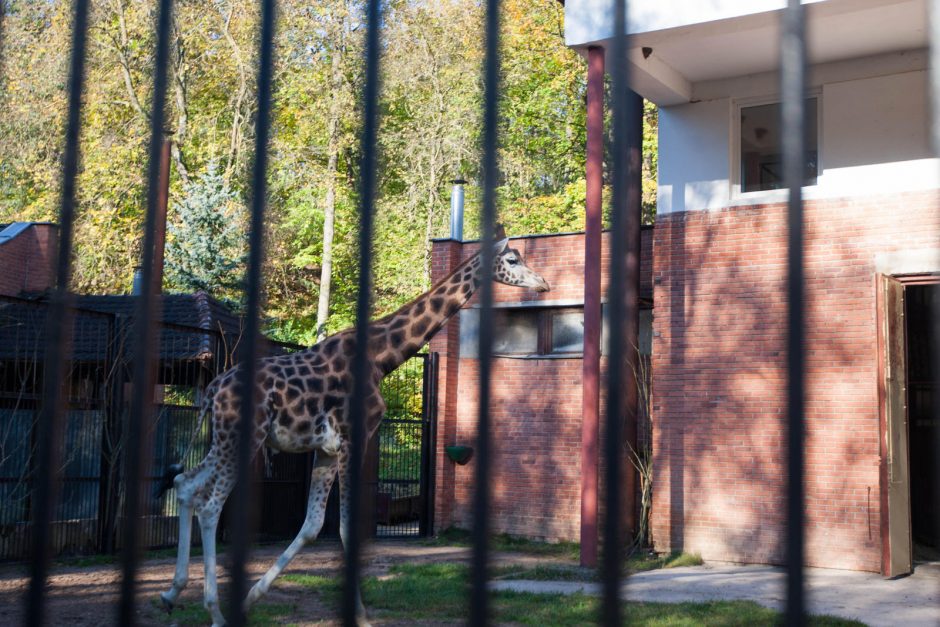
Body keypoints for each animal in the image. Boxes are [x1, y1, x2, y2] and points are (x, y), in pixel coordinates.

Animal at [157, 233, 548, 624]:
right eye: (512, 260)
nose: (543, 283)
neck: (381, 357)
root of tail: (213, 389)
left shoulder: (326, 449)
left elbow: (313, 525)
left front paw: (251, 597)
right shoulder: (353, 438)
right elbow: (346, 528)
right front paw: (360, 613)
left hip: (224, 437)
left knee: (186, 483)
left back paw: (172, 593)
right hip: (244, 436)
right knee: (210, 504)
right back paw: (214, 610)